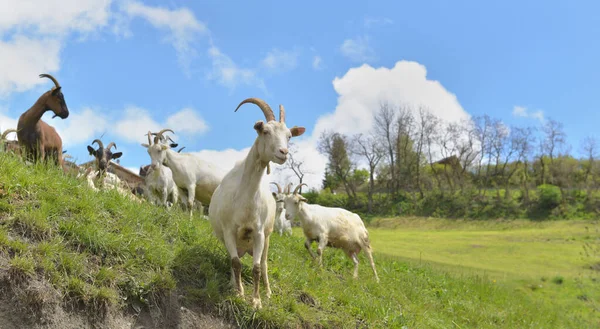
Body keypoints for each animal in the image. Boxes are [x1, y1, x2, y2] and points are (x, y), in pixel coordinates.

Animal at [210, 97, 304, 308]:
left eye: (289, 136)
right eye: (265, 131)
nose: (283, 152)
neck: (244, 198)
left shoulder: (259, 233)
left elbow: (257, 268)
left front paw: (256, 301)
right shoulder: (229, 231)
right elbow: (235, 263)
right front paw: (238, 293)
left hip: (267, 238)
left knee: (264, 262)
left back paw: (267, 292)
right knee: (233, 259)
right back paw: (232, 283)